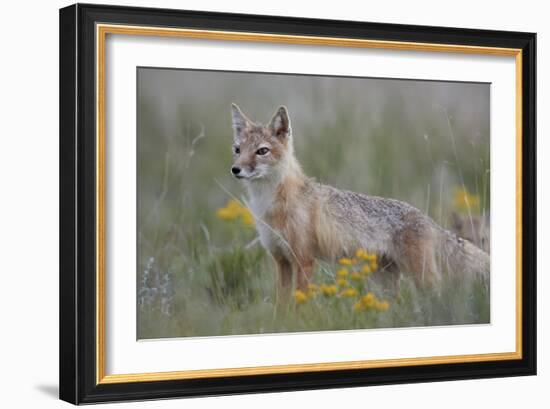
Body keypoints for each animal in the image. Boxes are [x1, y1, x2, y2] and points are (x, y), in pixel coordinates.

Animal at [230, 103, 492, 298]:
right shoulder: (282, 261)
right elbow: (281, 308)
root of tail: (427, 219)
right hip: (386, 283)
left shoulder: (304, 260)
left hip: (422, 279)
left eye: (262, 151)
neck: (269, 205)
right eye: (238, 150)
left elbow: (298, 306)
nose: (235, 169)